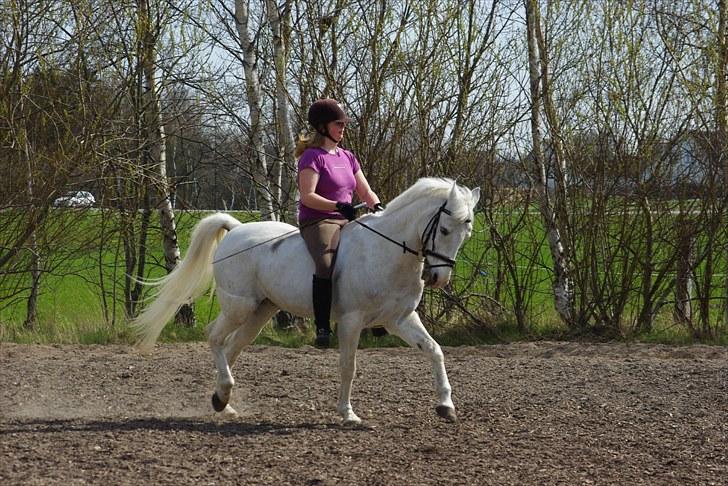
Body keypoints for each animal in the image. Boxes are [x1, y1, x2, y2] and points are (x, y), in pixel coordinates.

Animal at [134, 177, 480, 424]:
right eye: (444, 229)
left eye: (467, 234)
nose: (438, 278)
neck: (387, 252)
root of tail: (236, 230)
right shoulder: (352, 320)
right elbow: (348, 365)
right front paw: (347, 414)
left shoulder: (401, 319)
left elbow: (435, 351)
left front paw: (446, 406)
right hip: (239, 307)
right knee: (215, 338)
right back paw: (223, 394)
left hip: (261, 311)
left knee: (232, 346)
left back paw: (222, 402)